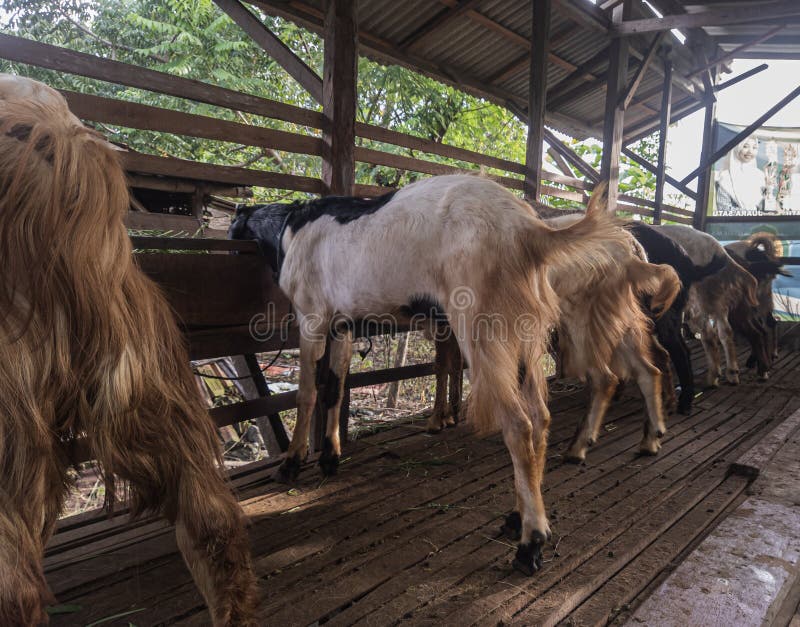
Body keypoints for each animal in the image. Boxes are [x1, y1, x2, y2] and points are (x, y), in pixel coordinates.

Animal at [230, 174, 638, 575]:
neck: (292, 227)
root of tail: (529, 232)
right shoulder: (342, 325)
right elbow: (335, 388)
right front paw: (330, 457)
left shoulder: (312, 317)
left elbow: (307, 394)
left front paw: (292, 463)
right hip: (522, 332)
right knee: (539, 417)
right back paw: (516, 517)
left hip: (483, 326)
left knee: (518, 424)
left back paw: (530, 543)